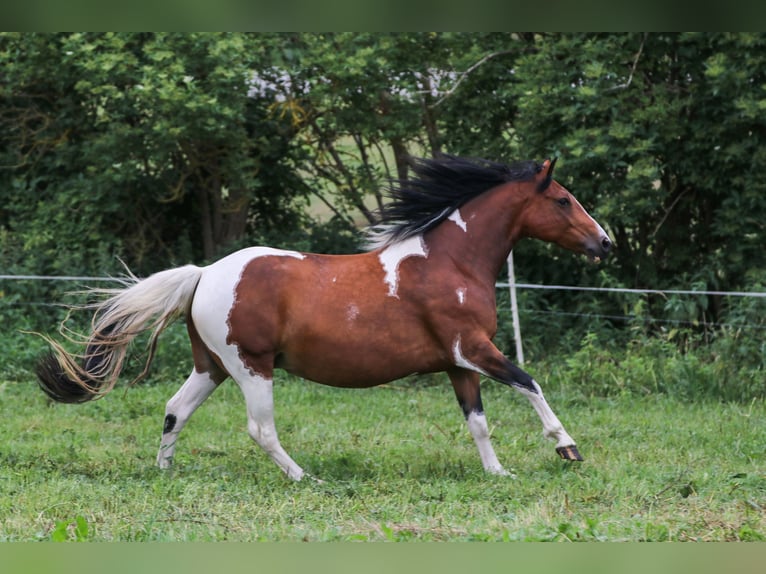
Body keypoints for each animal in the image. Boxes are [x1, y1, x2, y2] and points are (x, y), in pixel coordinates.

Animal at [36, 155, 611, 481]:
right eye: (564, 200)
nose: (604, 243)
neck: (449, 262)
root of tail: (205, 274)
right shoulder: (473, 349)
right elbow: (530, 383)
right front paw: (568, 448)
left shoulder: (458, 364)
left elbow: (479, 424)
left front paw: (498, 473)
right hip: (252, 366)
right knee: (260, 429)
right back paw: (304, 478)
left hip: (212, 366)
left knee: (175, 409)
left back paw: (165, 472)